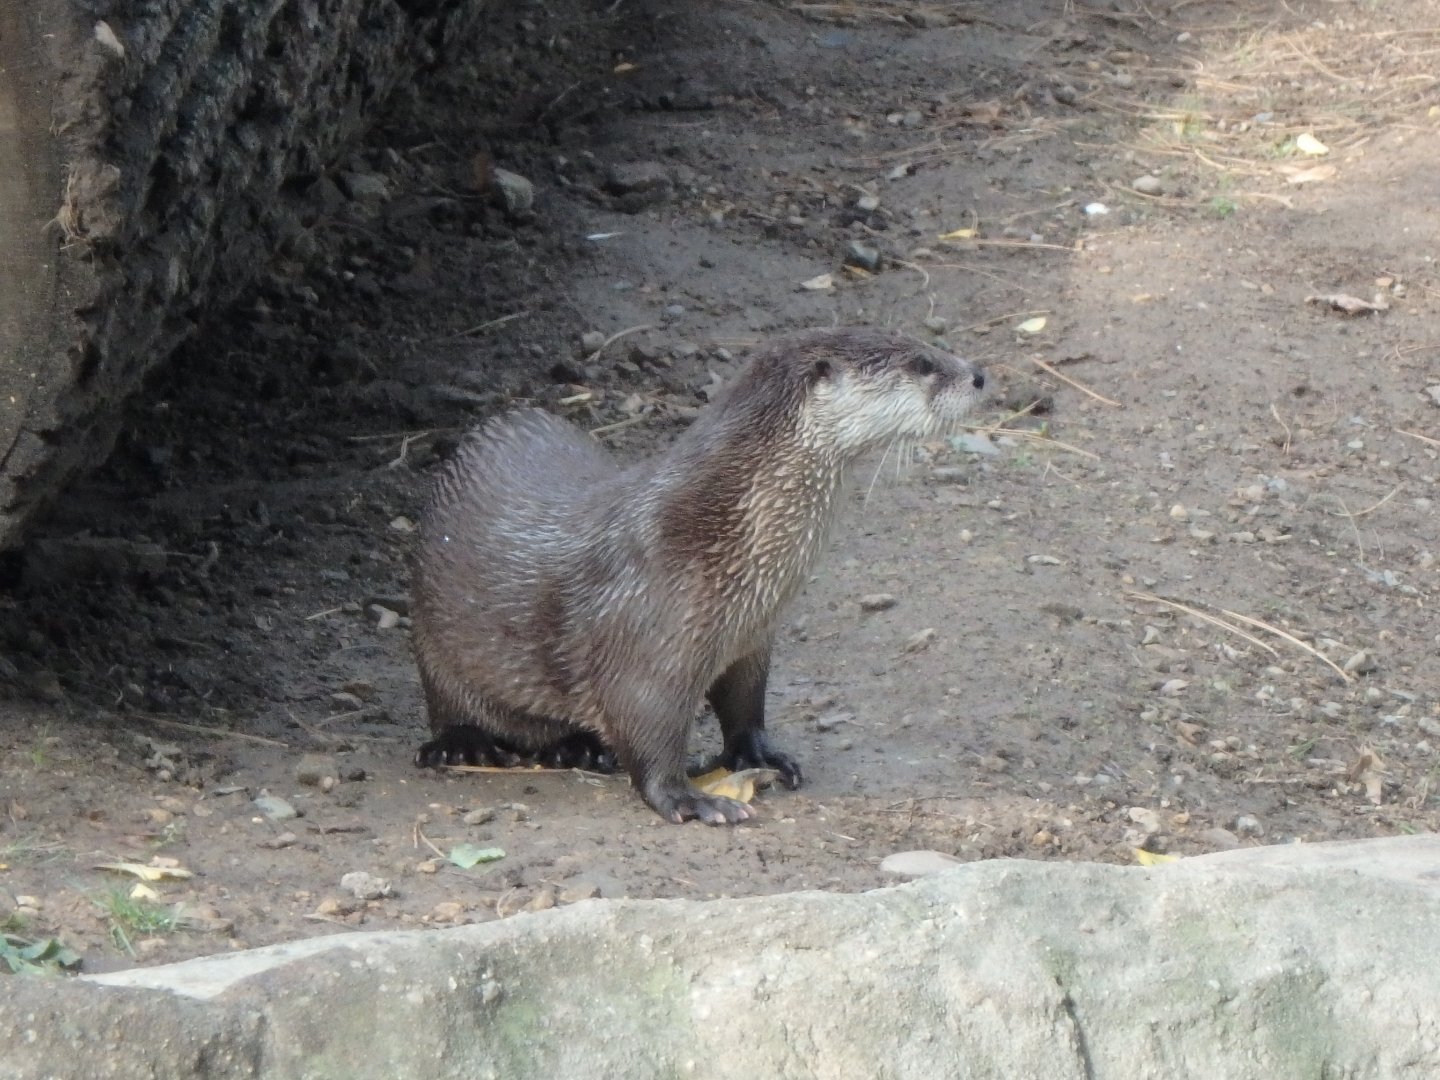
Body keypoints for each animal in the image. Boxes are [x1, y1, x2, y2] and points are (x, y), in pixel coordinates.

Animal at [412, 326, 986, 824]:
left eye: (928, 347)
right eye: (922, 365)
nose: (979, 374)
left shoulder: (752, 641)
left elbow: (745, 707)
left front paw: (760, 755)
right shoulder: (649, 645)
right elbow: (650, 734)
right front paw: (690, 800)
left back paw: (582, 749)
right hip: (433, 642)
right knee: (449, 704)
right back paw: (466, 745)